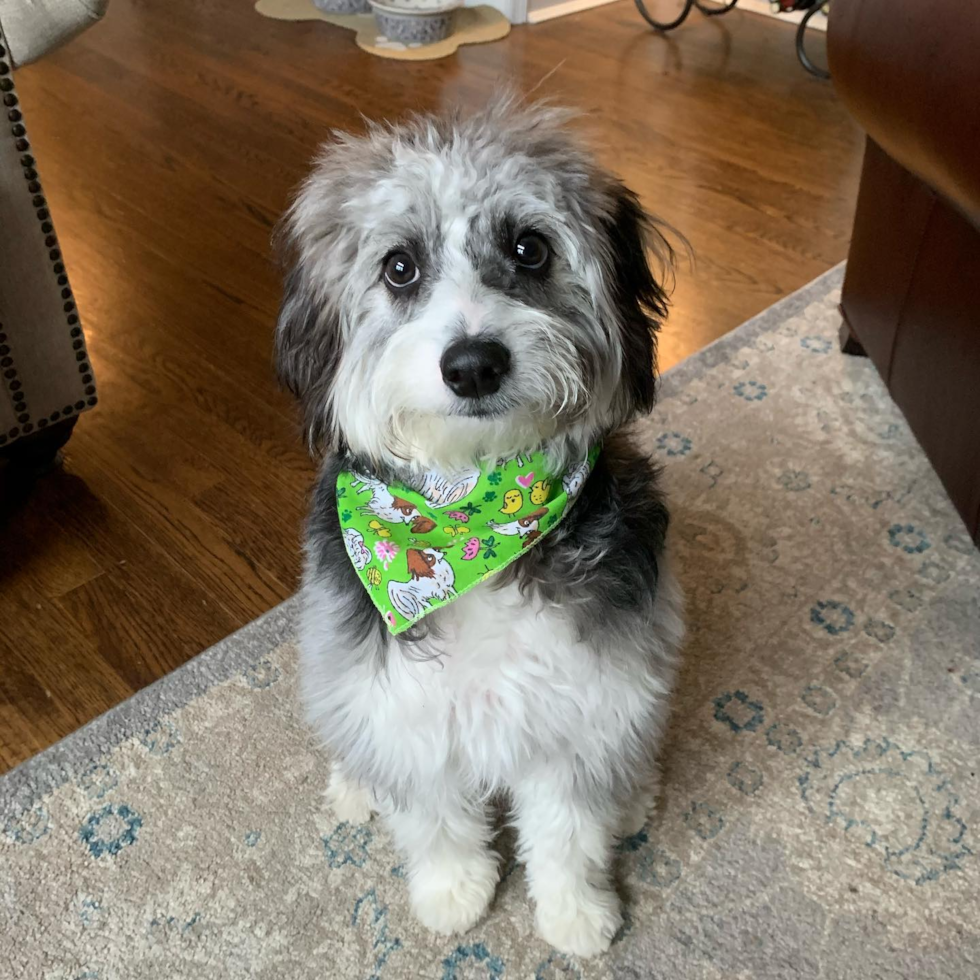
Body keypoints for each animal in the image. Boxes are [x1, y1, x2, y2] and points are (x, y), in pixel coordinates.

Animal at [276, 95, 684, 952]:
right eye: (400, 267)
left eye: (529, 248)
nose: (472, 364)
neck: (473, 529)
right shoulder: (408, 715)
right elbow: (436, 822)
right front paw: (453, 894)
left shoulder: (581, 712)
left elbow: (567, 833)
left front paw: (575, 913)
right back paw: (355, 786)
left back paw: (636, 793)